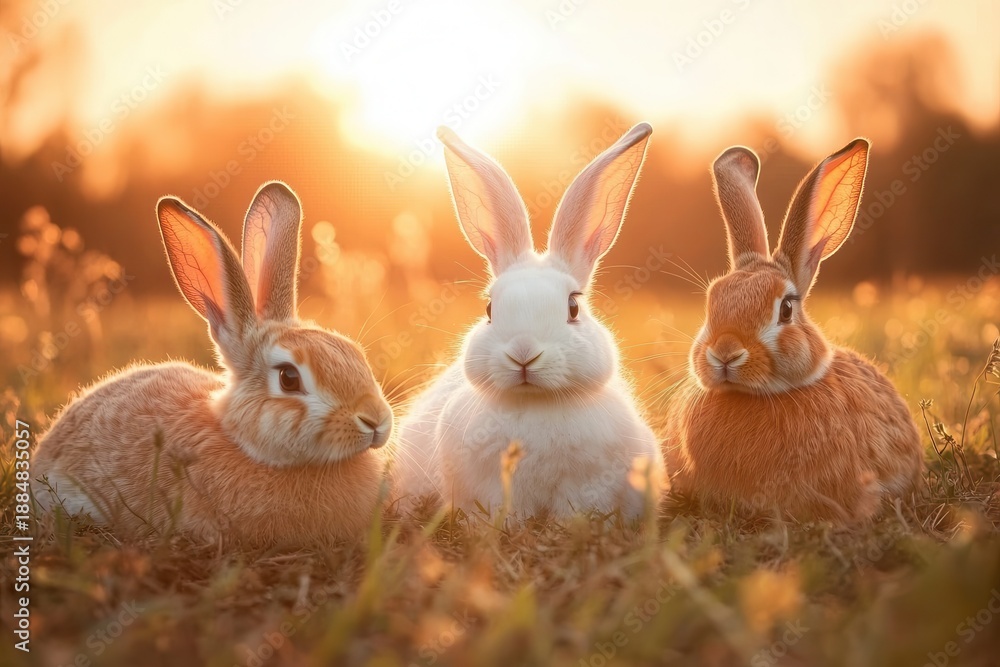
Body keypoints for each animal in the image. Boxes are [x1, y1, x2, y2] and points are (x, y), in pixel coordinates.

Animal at [392, 123, 665, 520]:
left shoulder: (587, 486)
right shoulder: (492, 487)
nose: (523, 352)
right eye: (490, 309)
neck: (535, 403)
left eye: (573, 307)